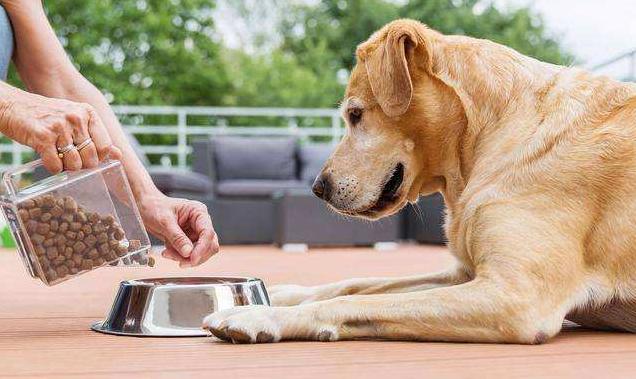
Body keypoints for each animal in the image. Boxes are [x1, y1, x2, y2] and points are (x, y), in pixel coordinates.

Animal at [202, 18, 636, 344]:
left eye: (355, 115)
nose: (317, 188)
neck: (489, 135)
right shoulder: (464, 275)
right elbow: (357, 283)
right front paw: (282, 295)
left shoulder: (516, 296)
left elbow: (359, 302)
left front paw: (261, 317)